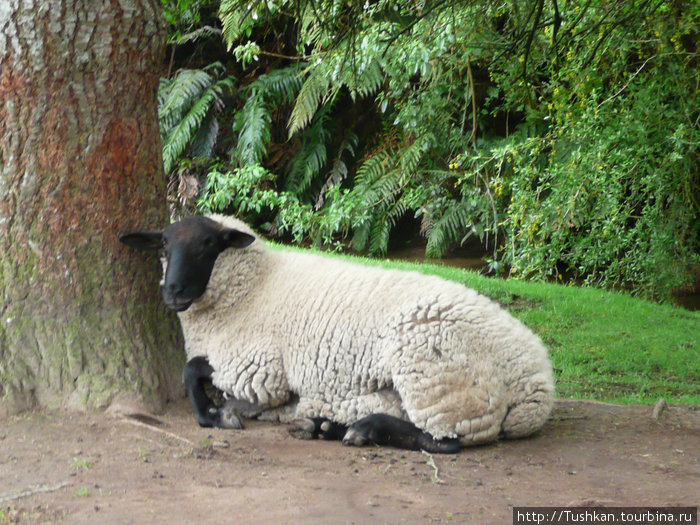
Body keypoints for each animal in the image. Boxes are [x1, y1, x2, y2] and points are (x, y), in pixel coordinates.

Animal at [121, 213, 556, 450]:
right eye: (163, 245)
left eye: (208, 244)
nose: (172, 292)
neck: (253, 287)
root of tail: (537, 376)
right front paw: (228, 409)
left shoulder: (259, 368)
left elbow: (192, 369)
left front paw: (215, 416)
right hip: (400, 386)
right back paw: (326, 426)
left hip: (443, 377)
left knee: (447, 438)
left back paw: (361, 431)